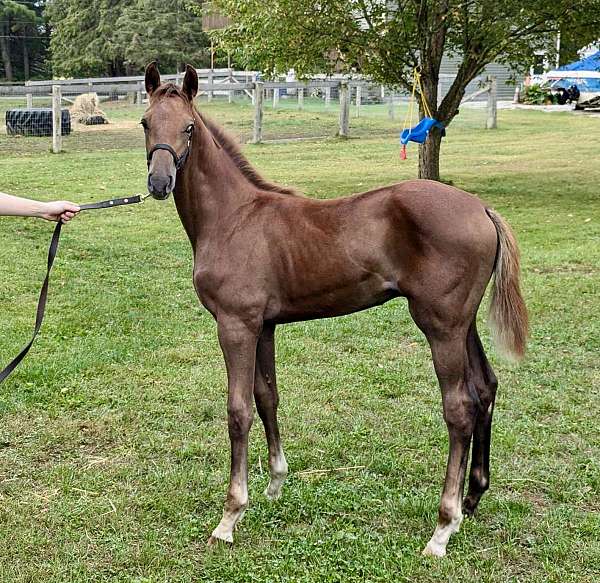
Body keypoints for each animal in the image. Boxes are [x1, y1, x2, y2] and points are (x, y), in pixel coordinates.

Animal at [143, 62, 528, 556]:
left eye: (189, 127)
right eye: (146, 123)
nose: (159, 183)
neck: (234, 218)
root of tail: (481, 208)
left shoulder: (235, 324)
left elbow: (238, 411)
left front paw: (230, 516)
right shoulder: (264, 325)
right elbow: (267, 397)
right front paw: (275, 483)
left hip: (440, 325)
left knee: (460, 406)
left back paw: (443, 527)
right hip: (464, 323)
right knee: (486, 388)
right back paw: (471, 500)